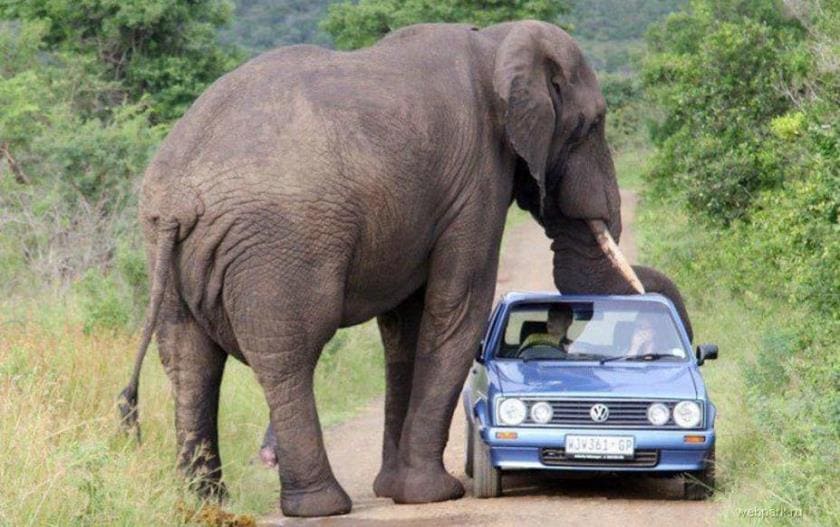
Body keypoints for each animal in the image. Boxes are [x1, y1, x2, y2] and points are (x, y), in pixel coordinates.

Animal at [118, 20, 690, 517]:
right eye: (592, 125)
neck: (496, 42)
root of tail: (178, 198)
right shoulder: (477, 180)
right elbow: (458, 308)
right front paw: (432, 495)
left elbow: (405, 328)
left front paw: (394, 489)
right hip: (280, 246)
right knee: (289, 355)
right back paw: (321, 507)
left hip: (166, 250)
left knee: (190, 361)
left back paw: (205, 504)